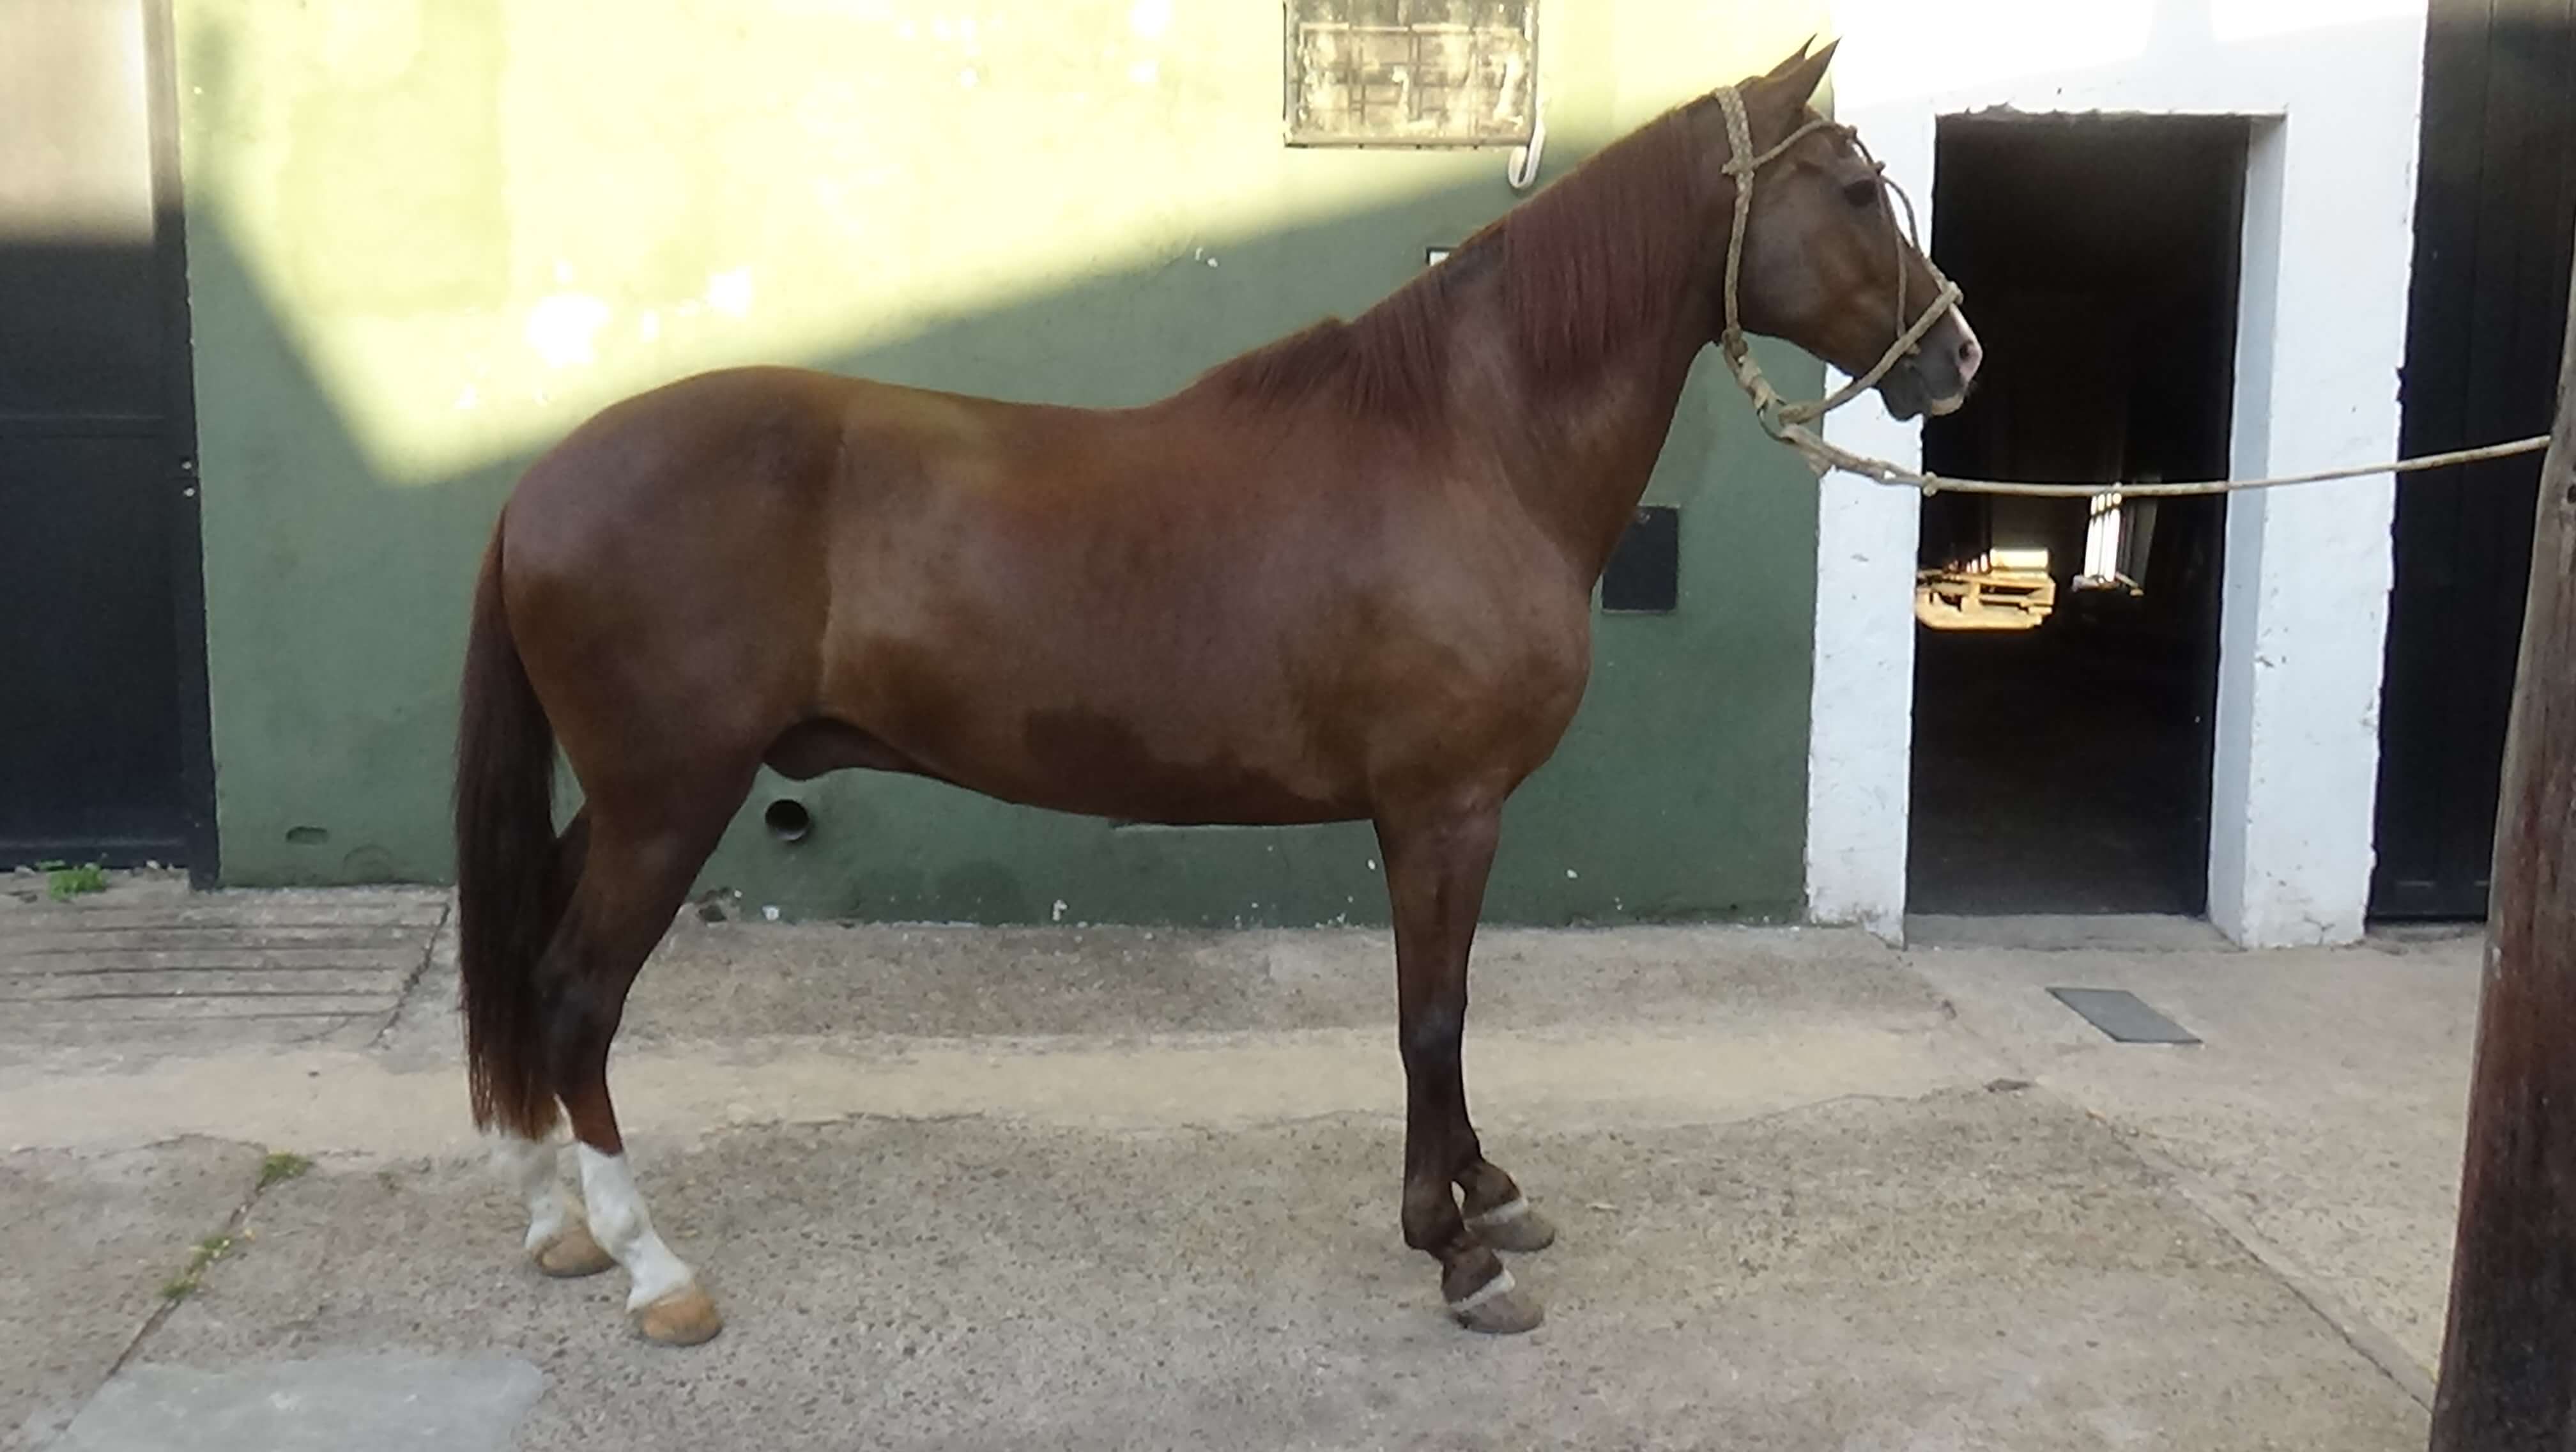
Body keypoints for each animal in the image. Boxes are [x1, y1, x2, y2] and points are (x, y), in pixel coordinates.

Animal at [454, 39, 1980, 1346]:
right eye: (1855, 191)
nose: (1956, 356)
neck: (1469, 445)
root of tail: (542, 483)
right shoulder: (1441, 810)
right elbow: (1433, 1015)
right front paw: (1455, 1249)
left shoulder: (1448, 815)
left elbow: (1451, 1009)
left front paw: (1487, 1193)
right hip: (670, 800)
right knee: (580, 993)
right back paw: (654, 1266)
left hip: (629, 800)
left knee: (529, 963)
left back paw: (554, 1221)